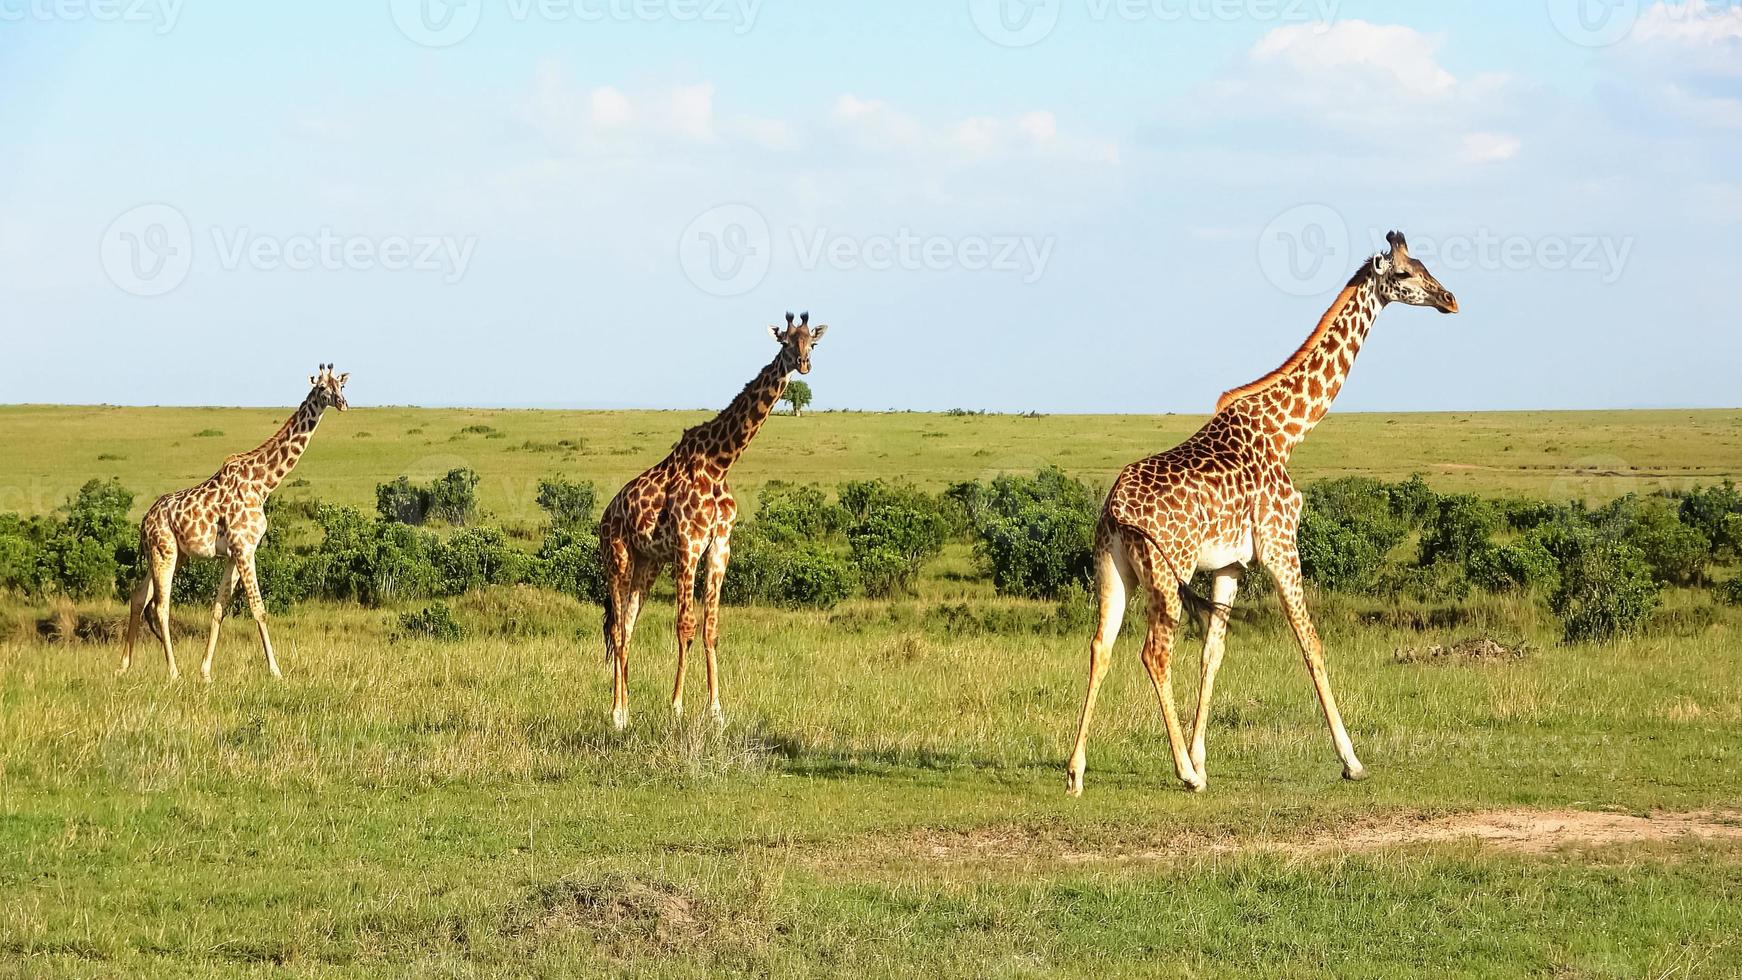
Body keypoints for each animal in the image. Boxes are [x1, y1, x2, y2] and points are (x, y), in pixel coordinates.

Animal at [120, 365, 350, 682]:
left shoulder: (234, 553)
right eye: (321, 388)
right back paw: (173, 672)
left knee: (139, 595)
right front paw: (276, 671)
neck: (263, 484)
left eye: (341, 385)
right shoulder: (244, 549)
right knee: (161, 605)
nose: (342, 403)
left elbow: (219, 609)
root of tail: (144, 522)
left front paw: (205, 672)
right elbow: (258, 608)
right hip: (163, 550)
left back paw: (123, 666)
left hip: (174, 555)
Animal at [595, 313, 825, 727]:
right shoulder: (688, 545)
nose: (803, 365)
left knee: (629, 626)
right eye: (785, 342)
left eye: (811, 344)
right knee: (618, 630)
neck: (720, 463)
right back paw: (618, 714)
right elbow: (685, 625)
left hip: (647, 564)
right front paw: (676, 706)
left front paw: (716, 709)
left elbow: (711, 627)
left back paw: (627, 710)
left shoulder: (720, 546)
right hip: (617, 558)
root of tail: (606, 515)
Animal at [1059, 231, 1456, 797]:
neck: (1288, 431)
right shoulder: (1280, 546)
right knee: (1154, 653)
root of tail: (1115, 507)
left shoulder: (1229, 564)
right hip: (1167, 571)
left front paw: (1203, 759)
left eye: (1424, 265)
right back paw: (1181, 774)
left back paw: (1077, 771)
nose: (1450, 299)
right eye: (1404, 274)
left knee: (1101, 646)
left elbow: (1214, 653)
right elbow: (1310, 642)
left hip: (1113, 570)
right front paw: (1351, 760)